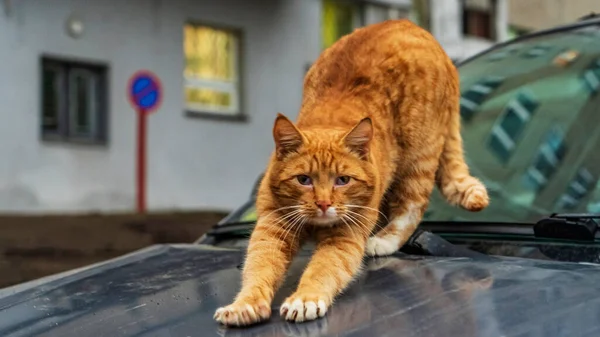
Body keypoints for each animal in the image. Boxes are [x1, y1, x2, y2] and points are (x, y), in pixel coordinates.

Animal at [214, 18, 488, 326]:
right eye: (304, 180)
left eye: (342, 180)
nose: (323, 203)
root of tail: (410, 24)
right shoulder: (273, 228)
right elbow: (259, 267)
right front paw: (245, 305)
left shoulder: (344, 237)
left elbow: (323, 269)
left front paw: (305, 299)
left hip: (418, 157)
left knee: (412, 206)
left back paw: (383, 241)